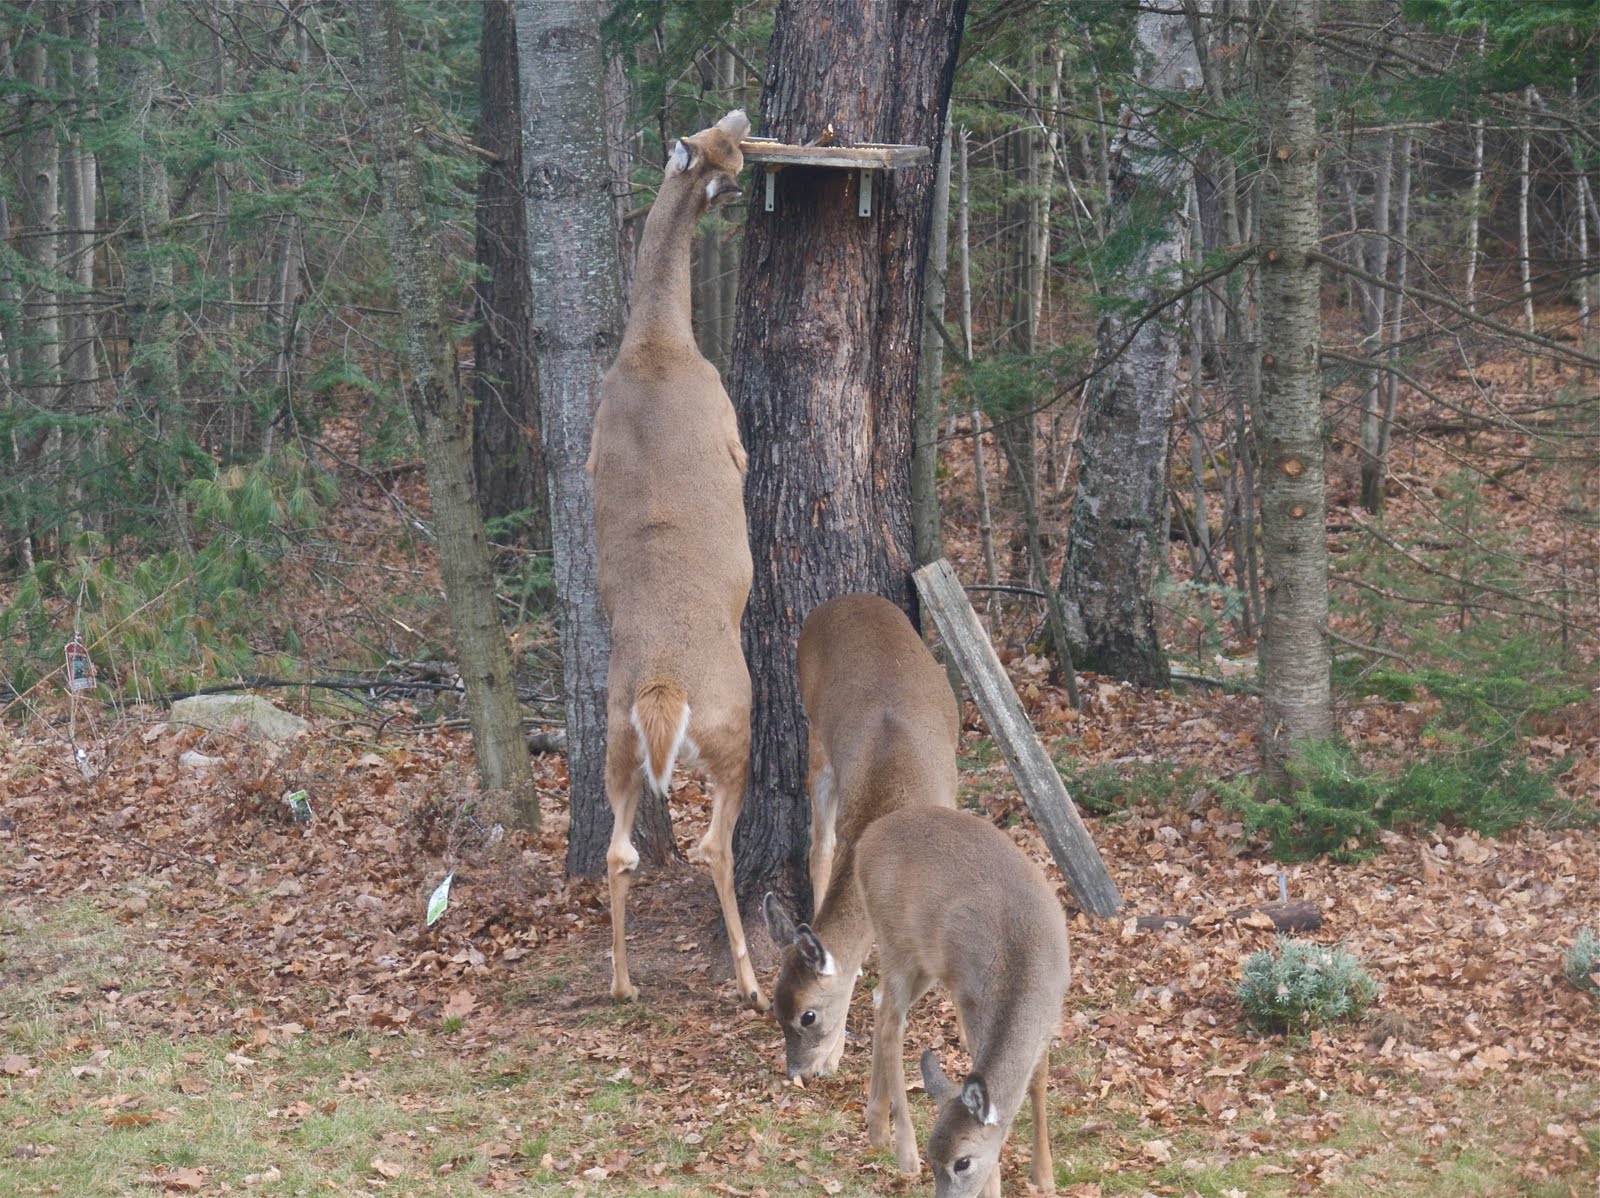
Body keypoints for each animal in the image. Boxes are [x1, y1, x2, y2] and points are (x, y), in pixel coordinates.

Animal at [764, 595, 960, 1081]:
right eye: (774, 1008)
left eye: (807, 1015)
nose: (798, 1071)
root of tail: (843, 599)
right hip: (818, 739)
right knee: (820, 847)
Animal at [857, 802, 1068, 1196]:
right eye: (933, 1161)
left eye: (962, 1162)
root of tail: (865, 839)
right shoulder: (969, 1002)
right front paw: (996, 1185)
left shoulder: (1052, 1014)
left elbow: (1038, 1081)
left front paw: (1044, 1175)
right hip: (893, 938)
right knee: (892, 1020)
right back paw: (903, 1149)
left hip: (923, 962)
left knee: (880, 1002)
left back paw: (876, 1126)